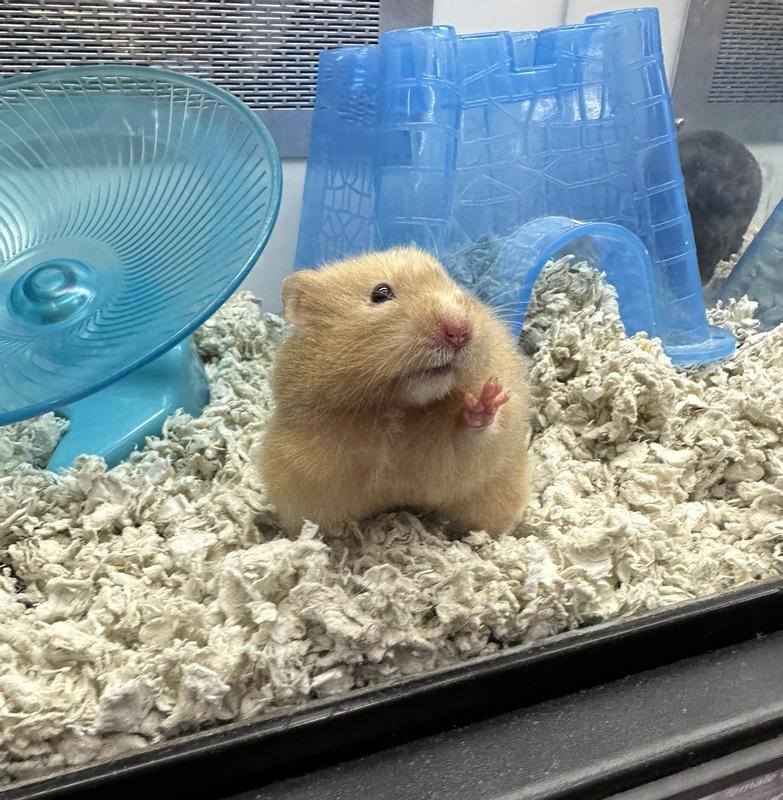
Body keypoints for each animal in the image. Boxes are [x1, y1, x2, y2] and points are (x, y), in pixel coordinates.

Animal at [262, 245, 532, 536]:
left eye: (452, 283)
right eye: (381, 293)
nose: (460, 330)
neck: (400, 406)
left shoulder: (461, 455)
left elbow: (475, 436)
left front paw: (487, 396)